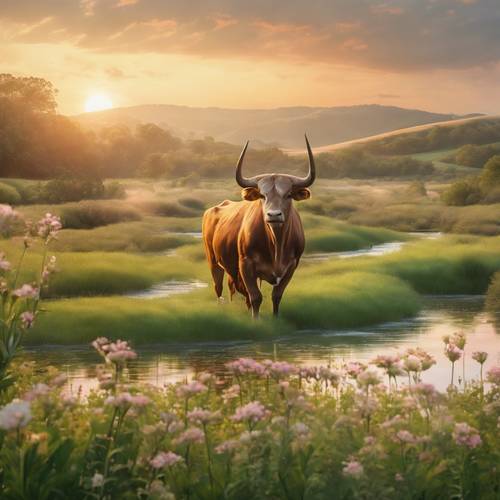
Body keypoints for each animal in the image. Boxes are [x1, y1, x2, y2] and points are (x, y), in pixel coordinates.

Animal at [201, 137, 314, 316]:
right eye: (262, 195)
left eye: (288, 194)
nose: (273, 215)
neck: (276, 245)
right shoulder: (246, 266)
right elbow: (255, 297)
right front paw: (255, 319)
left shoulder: (291, 266)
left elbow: (276, 296)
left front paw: (275, 318)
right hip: (213, 262)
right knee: (219, 288)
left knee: (232, 288)